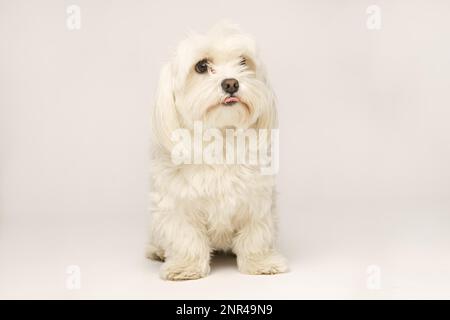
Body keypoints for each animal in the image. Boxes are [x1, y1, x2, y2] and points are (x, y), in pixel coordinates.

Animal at [148, 21, 288, 280]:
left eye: (243, 62)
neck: (221, 138)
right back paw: (157, 251)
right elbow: (186, 238)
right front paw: (186, 266)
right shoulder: (178, 204)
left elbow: (256, 236)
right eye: (201, 66)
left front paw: (261, 262)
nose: (231, 83)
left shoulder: (257, 201)